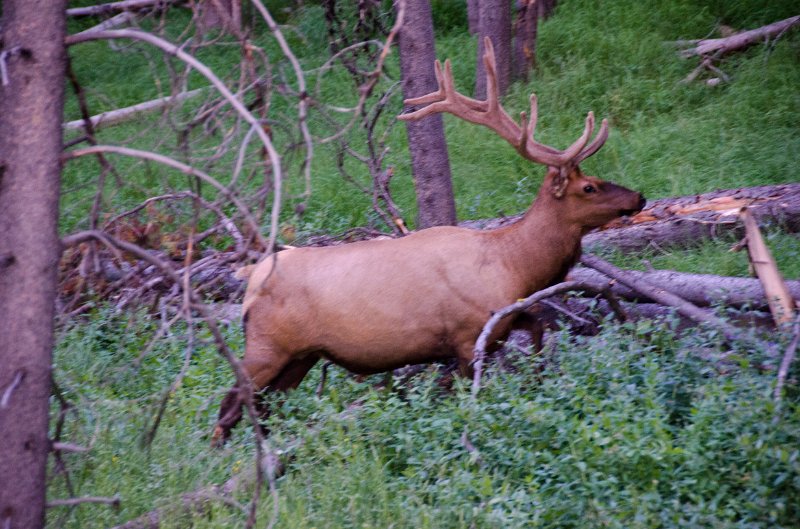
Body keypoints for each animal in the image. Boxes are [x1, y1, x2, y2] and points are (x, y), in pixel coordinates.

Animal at [211, 37, 644, 444]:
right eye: (589, 187)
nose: (639, 197)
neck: (515, 266)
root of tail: (251, 280)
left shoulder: (501, 319)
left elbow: (537, 325)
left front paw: (538, 376)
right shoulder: (468, 335)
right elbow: (471, 389)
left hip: (302, 356)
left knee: (266, 406)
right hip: (268, 346)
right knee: (231, 403)